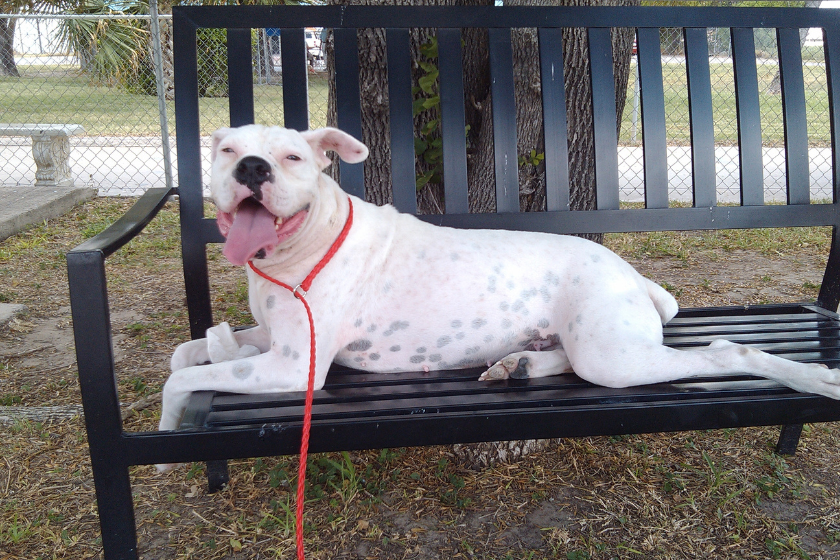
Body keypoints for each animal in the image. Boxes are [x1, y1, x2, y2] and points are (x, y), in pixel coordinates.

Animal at [158, 123, 840, 442]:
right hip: (589, 346)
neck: (298, 248)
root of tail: (632, 275)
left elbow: (181, 377)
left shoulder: (291, 367)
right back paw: (519, 366)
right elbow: (186, 352)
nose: (252, 166)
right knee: (563, 359)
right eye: (227, 150)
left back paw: (813, 378)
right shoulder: (269, 344)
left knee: (728, 350)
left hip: (614, 356)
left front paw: (167, 430)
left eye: (294, 157)